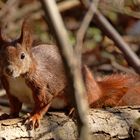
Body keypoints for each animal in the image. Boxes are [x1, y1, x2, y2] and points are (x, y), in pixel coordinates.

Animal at [0, 20, 140, 129]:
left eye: (22, 56)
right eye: (1, 55)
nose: (8, 70)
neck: (18, 79)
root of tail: (97, 89)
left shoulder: (43, 85)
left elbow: (43, 103)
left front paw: (34, 116)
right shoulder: (11, 91)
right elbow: (15, 106)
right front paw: (9, 115)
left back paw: (74, 108)